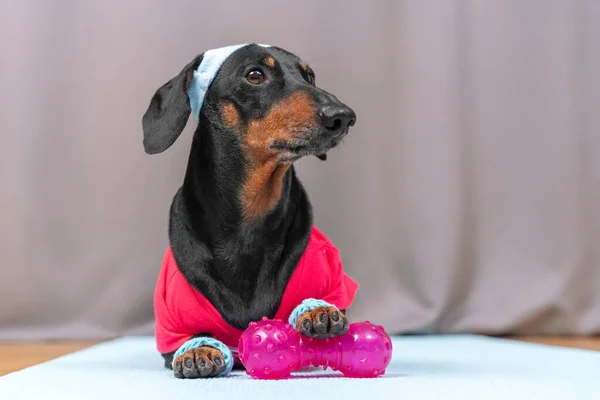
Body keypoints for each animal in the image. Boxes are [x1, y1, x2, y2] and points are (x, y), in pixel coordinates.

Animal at [143, 44, 358, 378]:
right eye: (255, 75)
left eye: (309, 76)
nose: (343, 116)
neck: (250, 219)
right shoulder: (171, 319)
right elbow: (187, 338)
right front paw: (197, 349)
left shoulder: (330, 276)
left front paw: (316, 308)